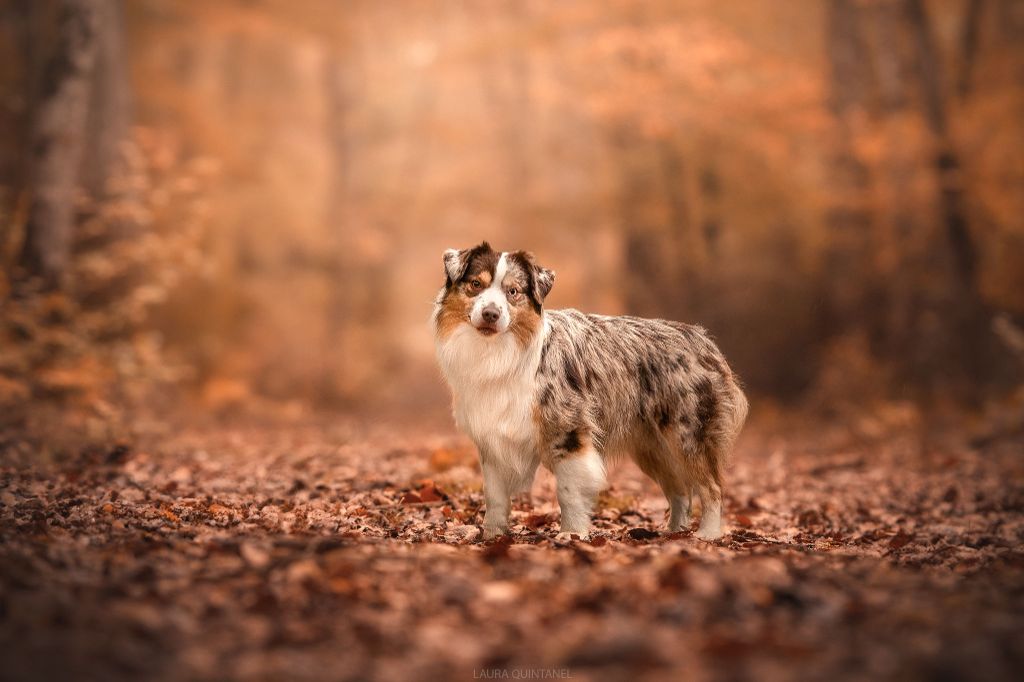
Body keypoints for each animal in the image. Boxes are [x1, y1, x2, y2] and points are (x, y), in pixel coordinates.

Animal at [428, 241, 749, 540]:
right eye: (476, 285)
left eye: (513, 292)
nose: (491, 314)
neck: (498, 352)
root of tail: (703, 340)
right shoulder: (491, 436)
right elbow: (494, 495)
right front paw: (492, 535)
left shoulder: (569, 431)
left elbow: (568, 490)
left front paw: (572, 534)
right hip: (652, 447)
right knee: (680, 490)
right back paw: (673, 532)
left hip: (689, 435)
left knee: (712, 487)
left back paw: (707, 534)